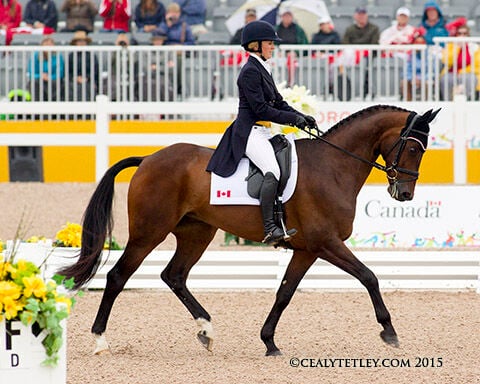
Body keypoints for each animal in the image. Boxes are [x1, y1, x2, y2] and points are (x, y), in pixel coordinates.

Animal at [58, 104, 440, 356]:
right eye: (411, 146)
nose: (404, 194)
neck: (333, 167)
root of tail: (149, 159)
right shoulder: (325, 243)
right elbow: (369, 276)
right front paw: (389, 332)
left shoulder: (306, 250)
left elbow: (285, 293)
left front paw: (269, 341)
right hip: (148, 232)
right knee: (118, 276)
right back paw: (100, 340)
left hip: (196, 233)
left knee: (174, 275)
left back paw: (206, 330)